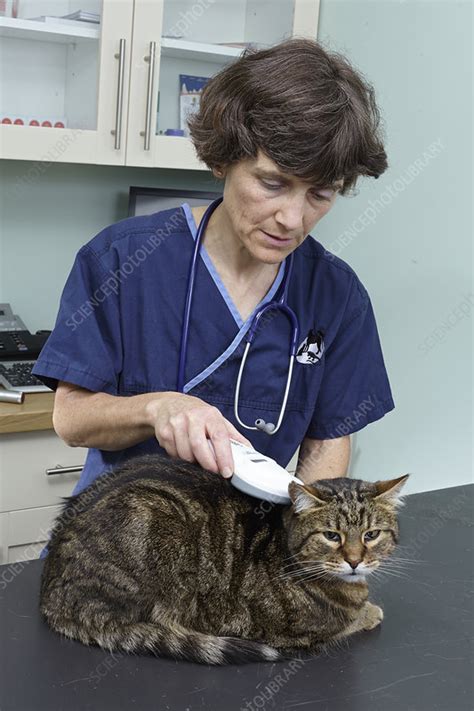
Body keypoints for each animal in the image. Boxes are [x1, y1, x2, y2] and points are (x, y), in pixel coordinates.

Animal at [39, 458, 408, 664]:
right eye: (332, 536)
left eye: (372, 534)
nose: (355, 561)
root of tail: (50, 598)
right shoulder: (286, 632)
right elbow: (348, 621)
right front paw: (369, 611)